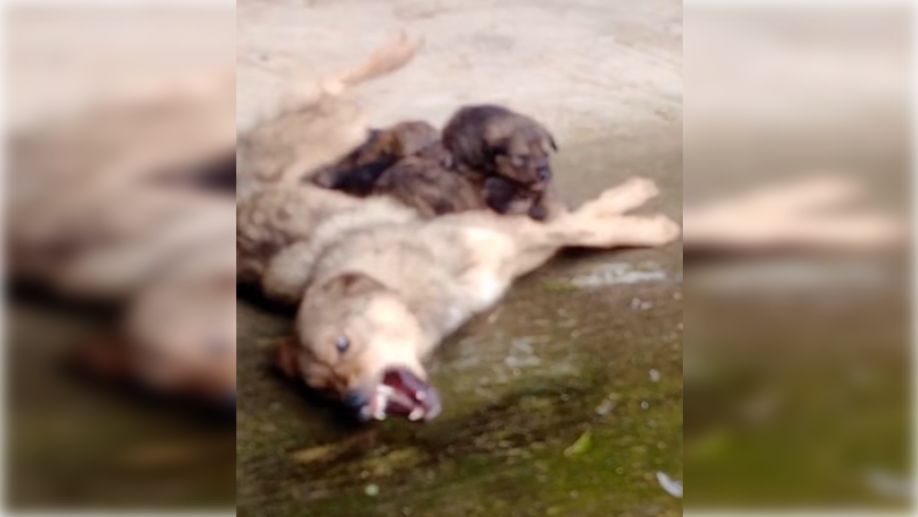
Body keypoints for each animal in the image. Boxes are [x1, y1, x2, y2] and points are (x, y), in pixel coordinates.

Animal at [237, 177, 678, 421]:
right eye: (323, 389)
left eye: (343, 344)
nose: (354, 405)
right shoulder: (516, 249)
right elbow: (582, 224)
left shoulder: (515, 237)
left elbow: (589, 227)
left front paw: (651, 227)